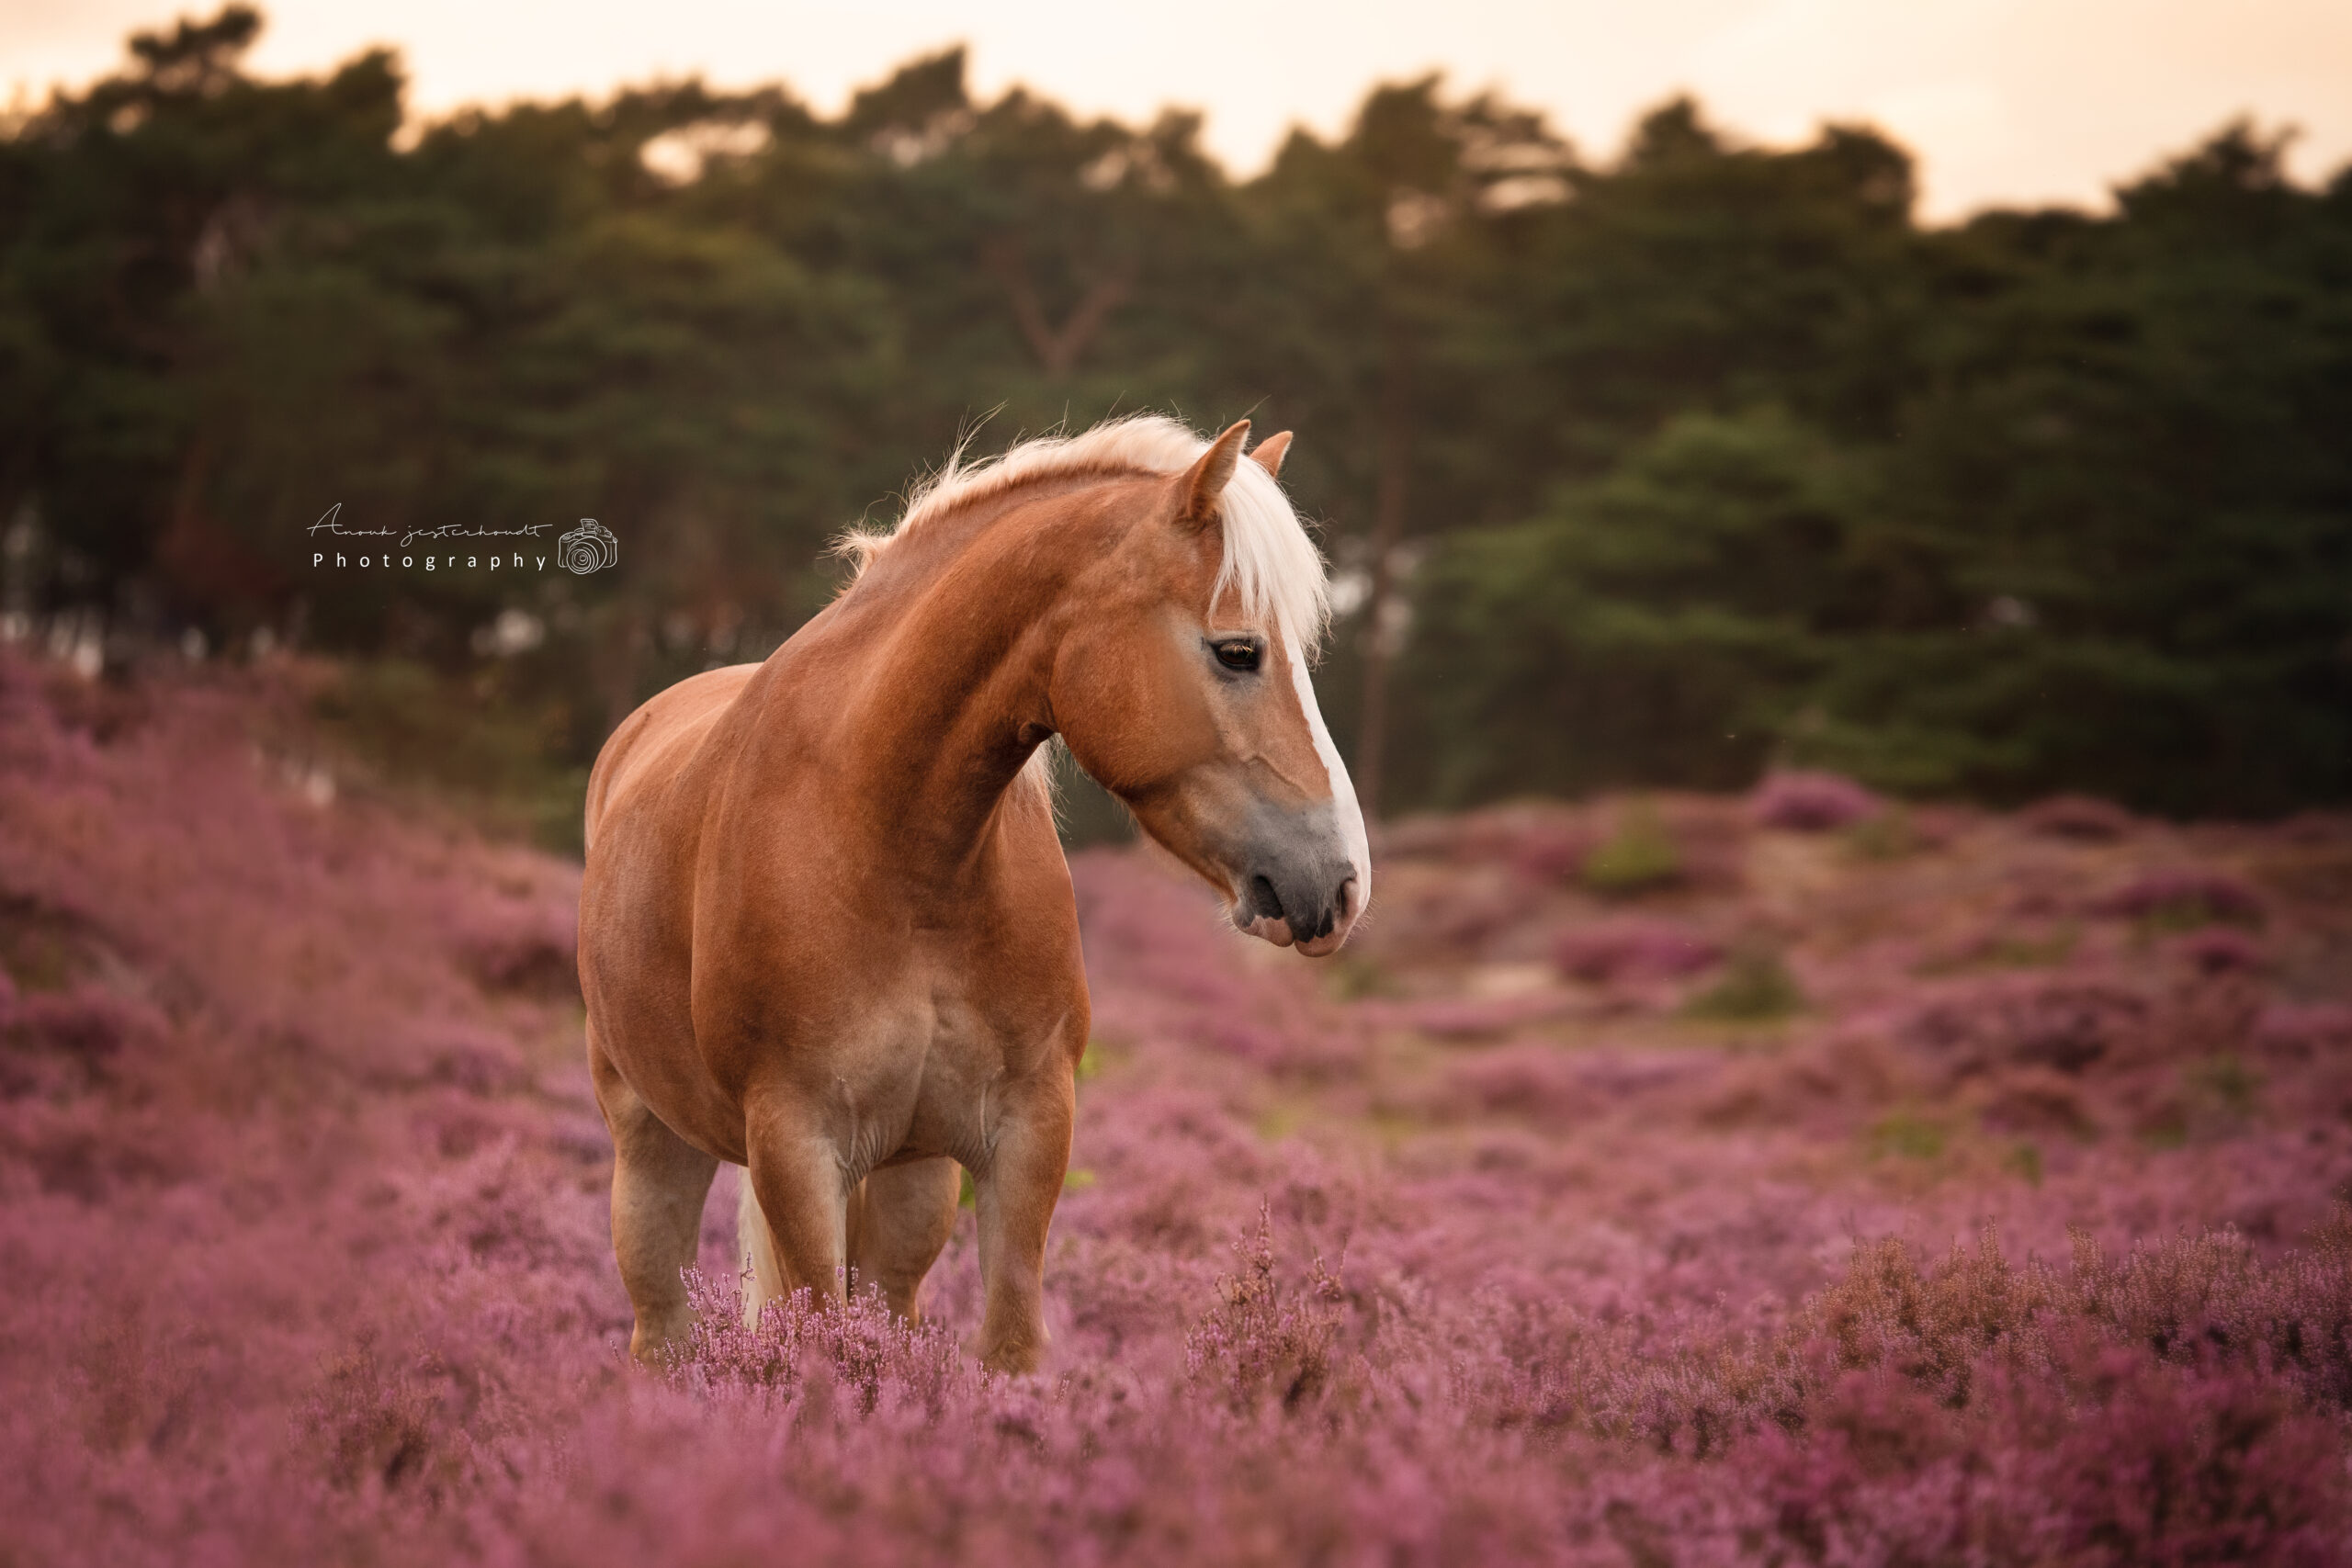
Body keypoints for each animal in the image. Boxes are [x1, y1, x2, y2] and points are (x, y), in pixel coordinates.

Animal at [577, 415, 1369, 1374]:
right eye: (1239, 652)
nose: (1342, 881)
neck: (899, 848)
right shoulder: (796, 1147)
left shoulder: (1029, 1133)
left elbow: (1007, 1342)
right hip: (653, 1146)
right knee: (660, 1326)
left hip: (913, 1173)